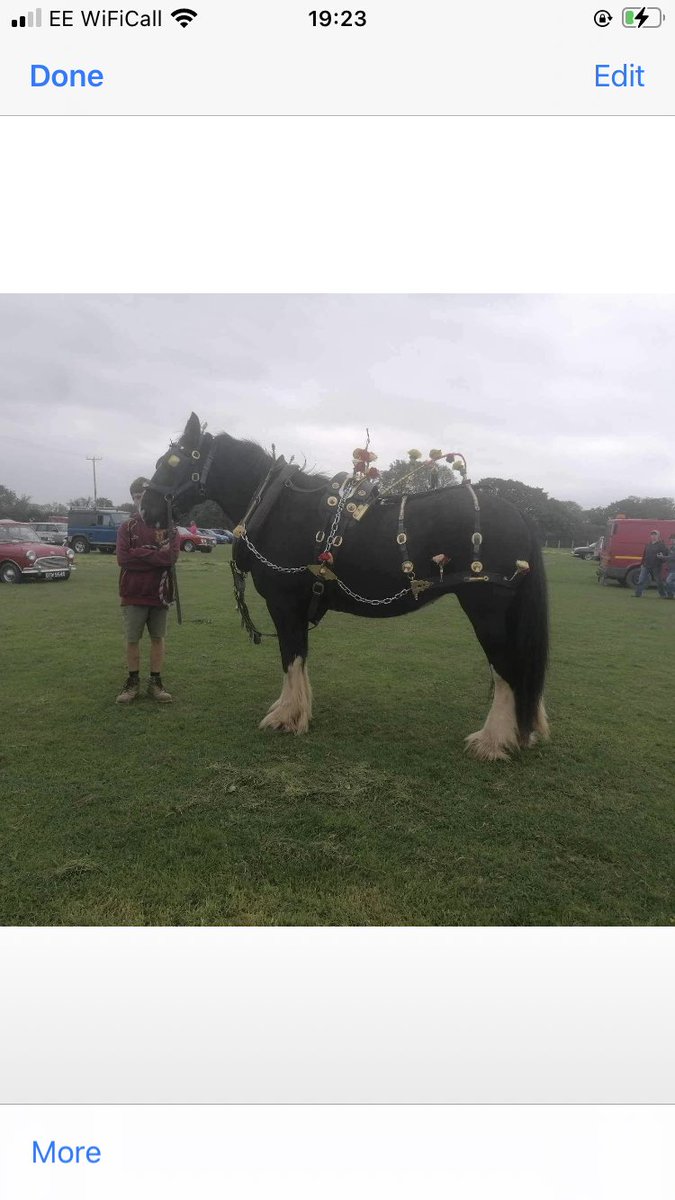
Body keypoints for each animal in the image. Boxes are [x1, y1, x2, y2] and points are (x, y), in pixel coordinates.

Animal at [141, 415, 547, 758]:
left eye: (171, 461)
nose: (145, 508)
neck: (276, 505)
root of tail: (519, 514)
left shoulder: (283, 603)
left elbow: (290, 656)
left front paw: (287, 717)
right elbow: (299, 657)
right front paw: (294, 711)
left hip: (485, 608)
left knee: (506, 668)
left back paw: (493, 741)